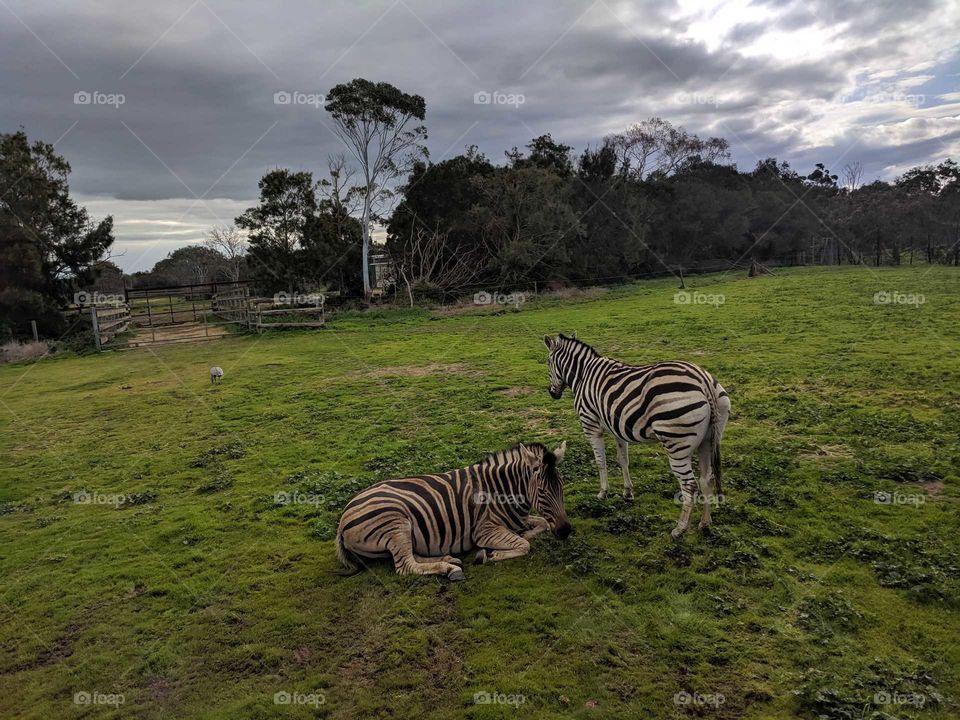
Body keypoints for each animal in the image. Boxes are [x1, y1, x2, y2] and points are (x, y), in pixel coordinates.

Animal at [336, 442, 568, 584]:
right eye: (542, 491)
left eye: (562, 486)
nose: (566, 531)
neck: (502, 490)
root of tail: (342, 521)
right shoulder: (484, 531)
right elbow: (524, 545)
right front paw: (489, 554)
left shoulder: (521, 518)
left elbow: (542, 524)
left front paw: (525, 532)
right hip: (395, 524)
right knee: (406, 566)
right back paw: (449, 569)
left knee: (413, 556)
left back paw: (450, 560)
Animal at [544, 334, 732, 536]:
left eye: (548, 362)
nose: (552, 393)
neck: (583, 375)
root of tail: (704, 381)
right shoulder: (617, 428)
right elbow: (623, 460)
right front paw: (627, 493)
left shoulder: (591, 425)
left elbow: (600, 461)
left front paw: (603, 492)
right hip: (708, 440)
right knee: (707, 479)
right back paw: (705, 523)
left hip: (676, 444)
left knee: (689, 485)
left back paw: (680, 529)